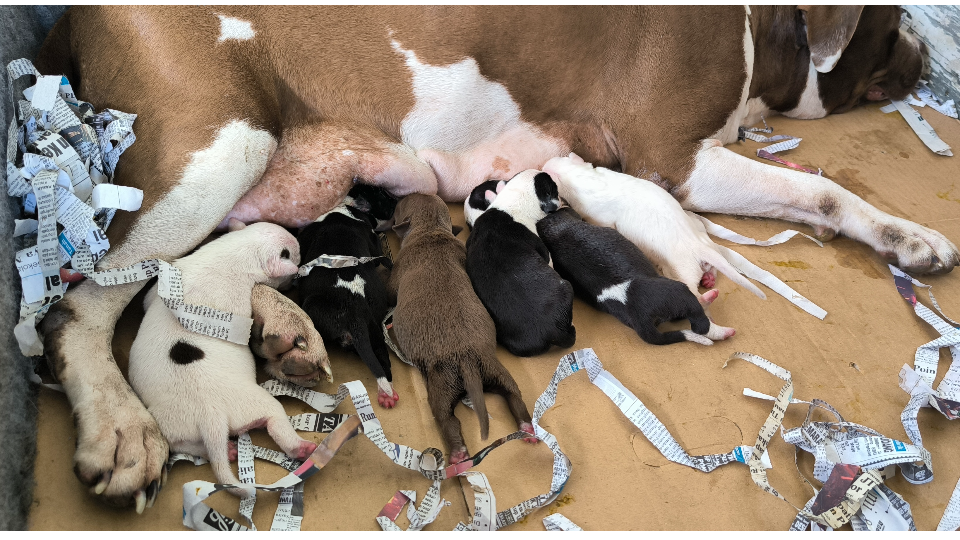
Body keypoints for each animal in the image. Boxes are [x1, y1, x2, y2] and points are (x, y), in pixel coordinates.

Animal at [128, 221, 316, 504]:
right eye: (293, 256)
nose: (293, 280)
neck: (235, 249)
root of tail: (211, 418)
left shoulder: (166, 279)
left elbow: (148, 298)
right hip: (256, 404)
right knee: (275, 421)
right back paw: (303, 448)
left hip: (170, 425)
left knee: (186, 445)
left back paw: (227, 452)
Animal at [296, 189, 397, 408]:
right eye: (385, 196)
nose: (396, 198)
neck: (347, 211)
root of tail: (355, 311)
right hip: (375, 330)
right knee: (384, 365)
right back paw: (387, 393)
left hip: (313, 307)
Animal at [389, 193, 536, 463]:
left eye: (398, 206)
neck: (431, 228)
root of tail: (466, 359)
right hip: (494, 368)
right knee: (514, 395)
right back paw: (527, 428)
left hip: (441, 382)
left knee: (446, 418)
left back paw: (458, 453)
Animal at [466, 170, 575, 356]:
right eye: (555, 190)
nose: (562, 199)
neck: (512, 201)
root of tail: (552, 330)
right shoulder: (545, 253)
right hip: (566, 286)